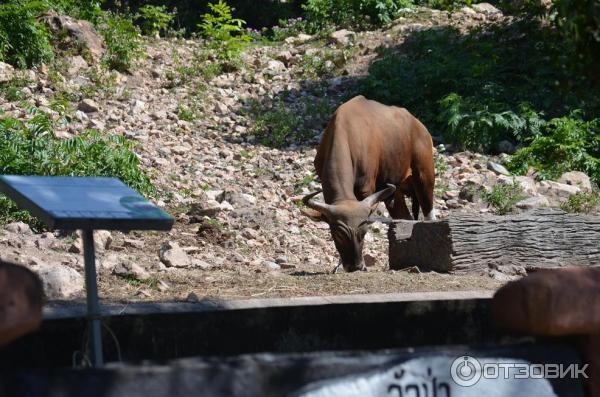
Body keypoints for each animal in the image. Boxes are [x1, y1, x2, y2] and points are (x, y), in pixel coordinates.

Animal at [302, 95, 434, 272]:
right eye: (338, 234)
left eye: (363, 233)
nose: (355, 266)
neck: (347, 132)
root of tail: (418, 125)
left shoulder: (366, 189)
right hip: (396, 193)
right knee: (404, 217)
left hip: (424, 175)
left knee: (428, 214)